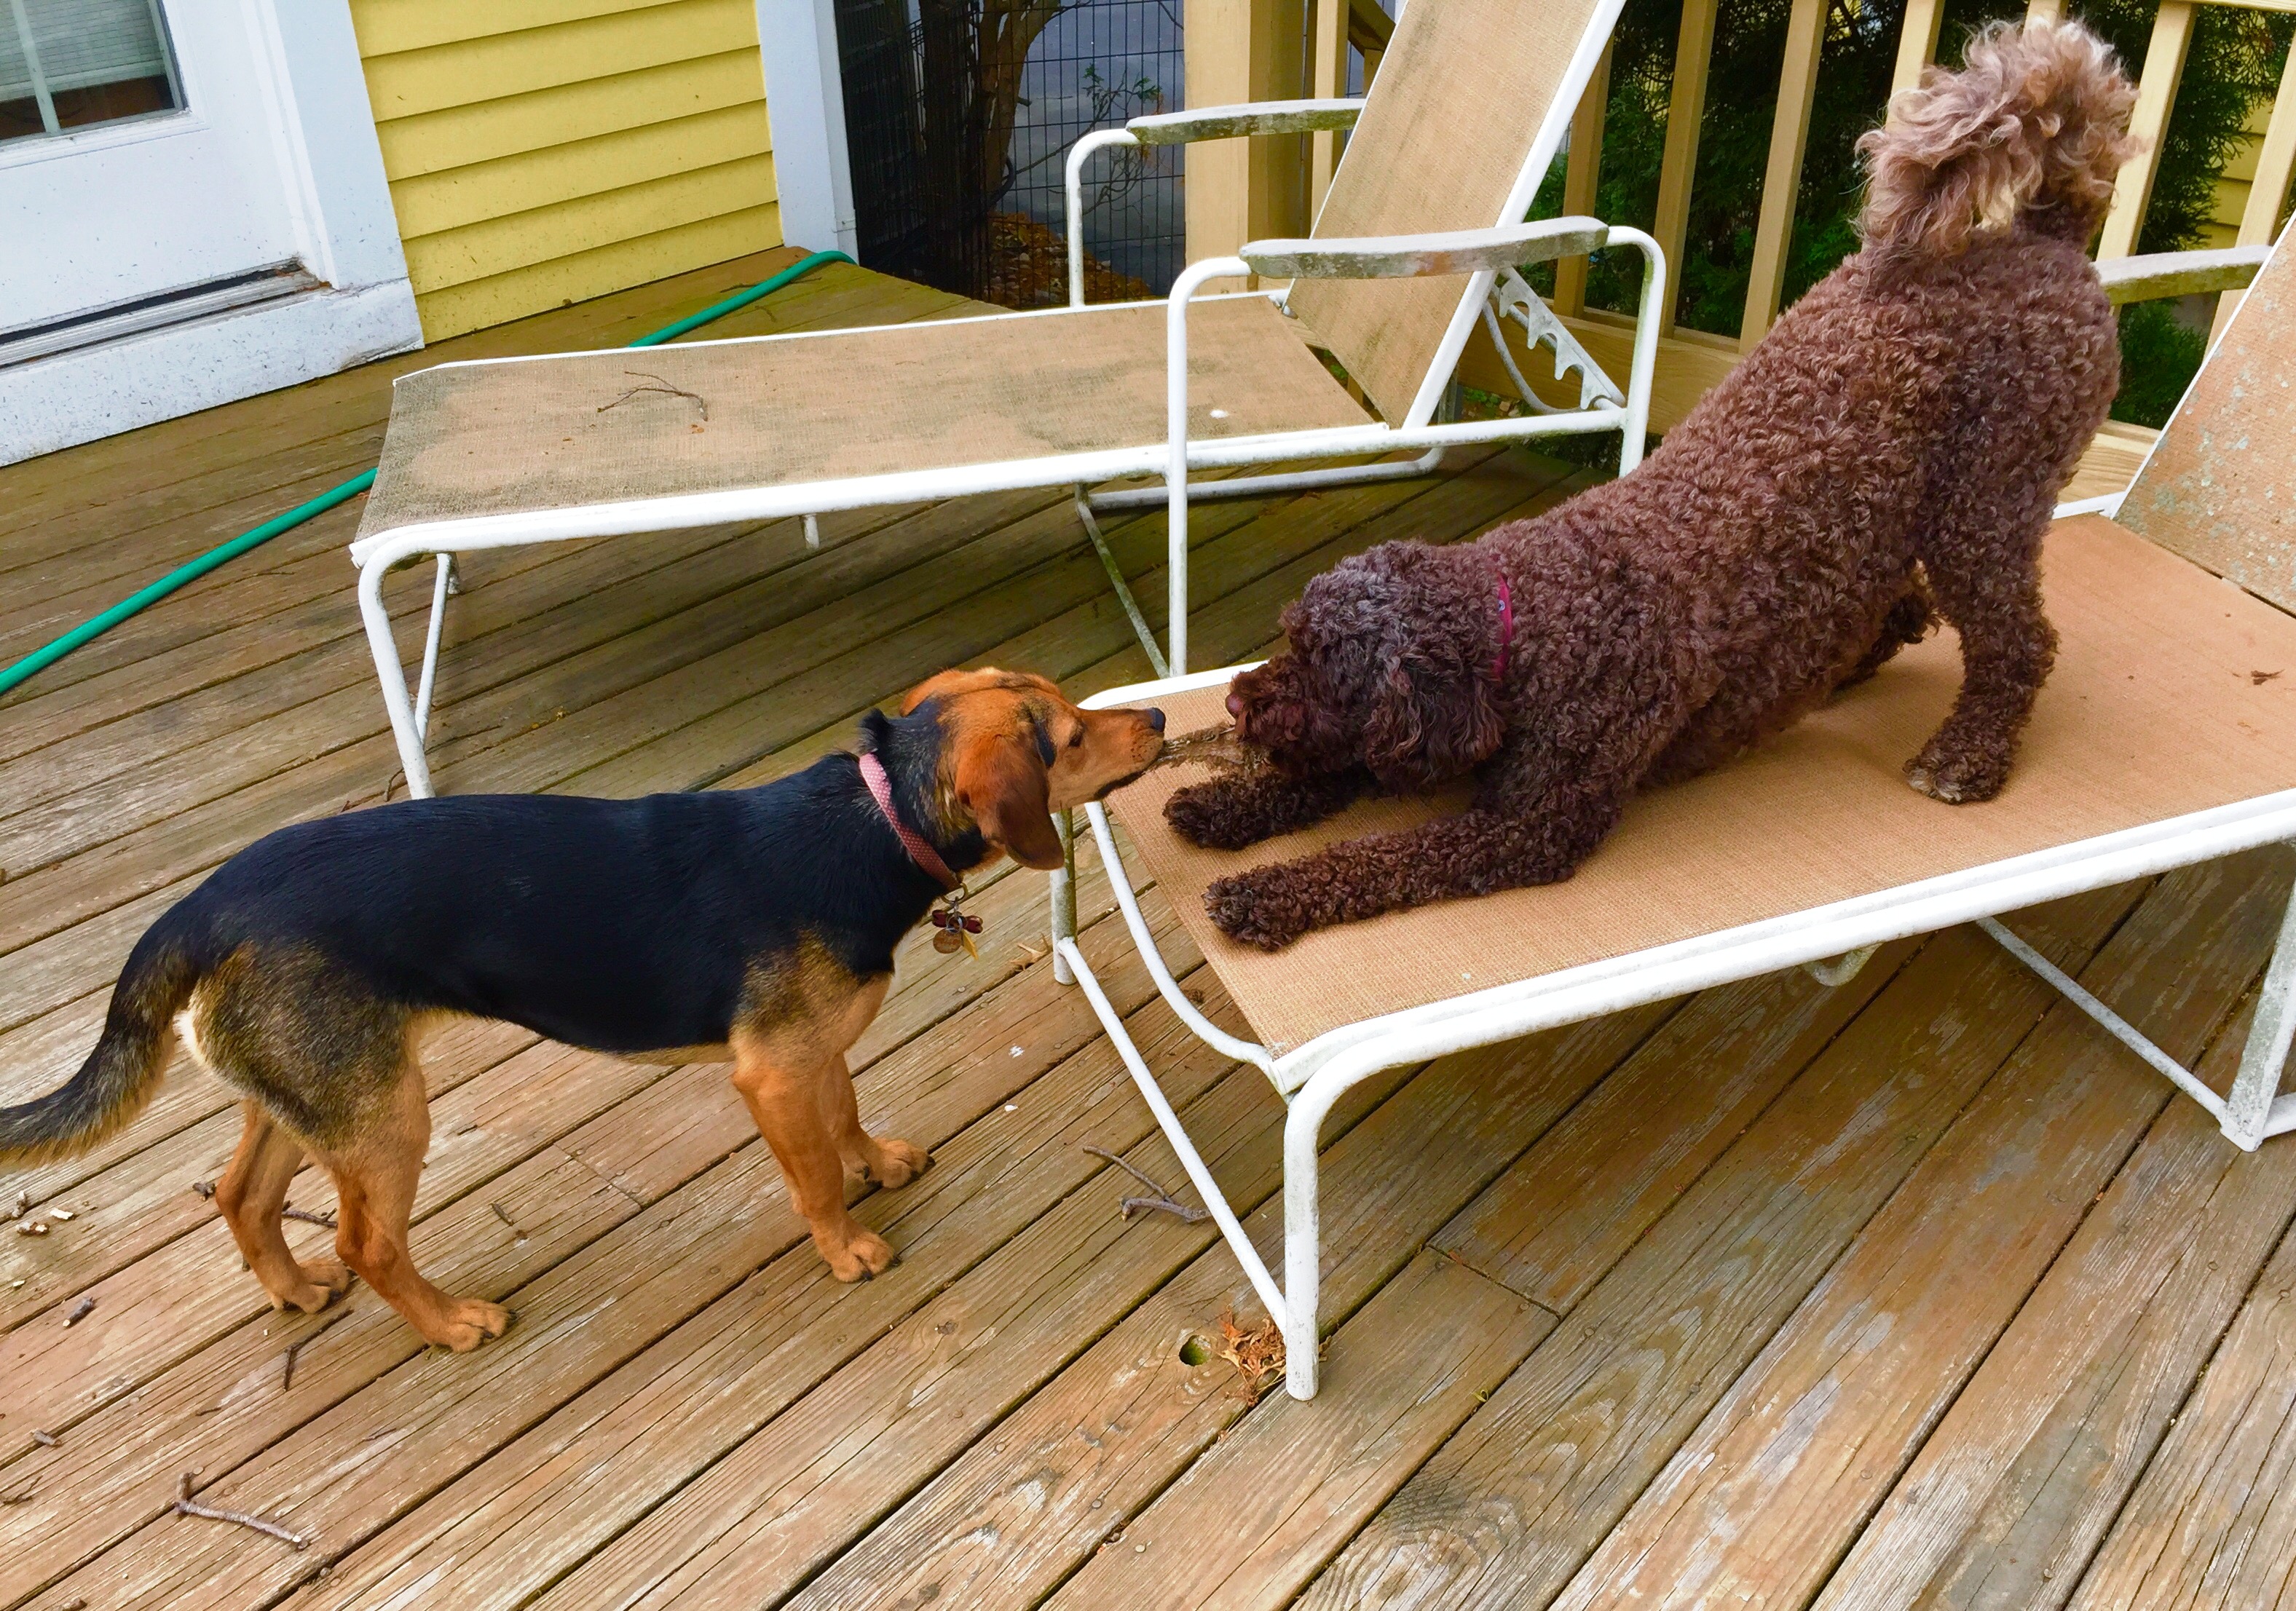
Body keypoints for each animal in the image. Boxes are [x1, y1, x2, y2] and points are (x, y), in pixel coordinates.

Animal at [0, 674, 1166, 1358]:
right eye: (1069, 737)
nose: (1156, 715)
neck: (873, 820)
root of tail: (199, 905)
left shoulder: (810, 1051)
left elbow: (845, 1115)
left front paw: (878, 1161)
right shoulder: (771, 1071)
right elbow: (814, 1176)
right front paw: (846, 1249)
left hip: (310, 1093)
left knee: (242, 1196)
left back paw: (292, 1290)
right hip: (382, 1114)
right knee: (370, 1239)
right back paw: (451, 1322)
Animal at [1175, 19, 2139, 954]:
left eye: (1324, 668)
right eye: (1290, 640)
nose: (1235, 700)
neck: (1528, 621)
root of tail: (2046, 235)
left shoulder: (1527, 828)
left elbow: (1371, 859)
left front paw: (1266, 890)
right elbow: (1326, 776)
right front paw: (1225, 805)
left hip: (1986, 507)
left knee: (2017, 642)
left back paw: (1965, 756)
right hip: (1887, 520)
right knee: (1899, 606)